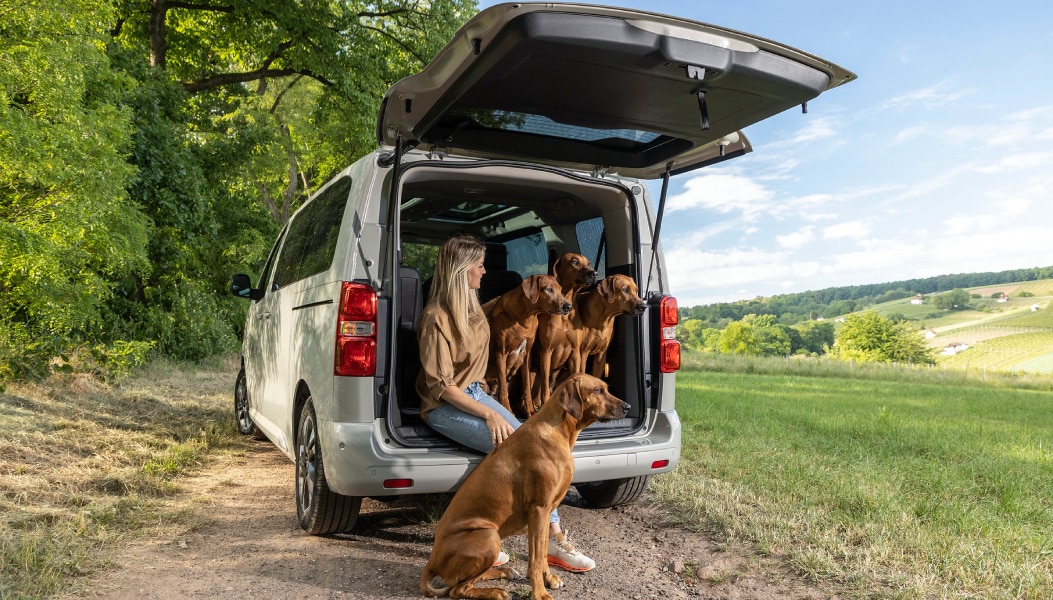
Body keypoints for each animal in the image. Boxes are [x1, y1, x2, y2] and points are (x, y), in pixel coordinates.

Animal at [421, 374, 631, 597]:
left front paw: (548, 579)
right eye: (598, 390)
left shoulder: (544, 513)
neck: (558, 431)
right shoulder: (539, 509)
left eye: (606, 388)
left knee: (467, 581)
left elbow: (540, 554)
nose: (628, 406)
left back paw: (503, 571)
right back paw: (495, 591)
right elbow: (537, 559)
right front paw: (540, 593)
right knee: (458, 589)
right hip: (489, 535)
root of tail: (432, 561)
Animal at [482, 273, 568, 412]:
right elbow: (503, 389)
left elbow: (527, 386)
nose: (568, 307)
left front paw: (531, 411)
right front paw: (508, 410)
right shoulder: (500, 352)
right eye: (549, 289)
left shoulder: (527, 355)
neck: (525, 317)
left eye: (560, 290)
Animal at [530, 251, 598, 410]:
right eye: (574, 262)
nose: (594, 273)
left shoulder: (575, 352)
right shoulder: (546, 351)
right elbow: (545, 387)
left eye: (589, 263)